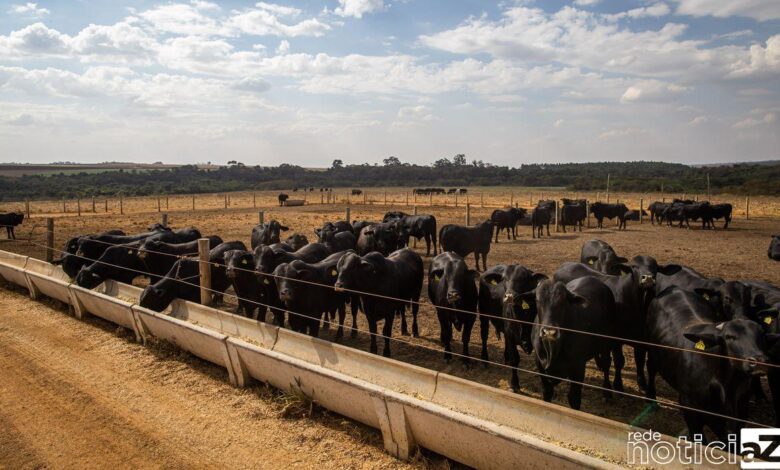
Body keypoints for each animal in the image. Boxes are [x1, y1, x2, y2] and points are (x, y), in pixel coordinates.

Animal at [524, 278, 616, 410]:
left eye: (563, 302)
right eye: (537, 300)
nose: (549, 332)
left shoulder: (578, 368)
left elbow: (574, 398)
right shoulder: (540, 365)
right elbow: (547, 393)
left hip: (606, 342)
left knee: (607, 363)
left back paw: (607, 392)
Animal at [644, 286, 776, 440]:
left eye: (762, 335)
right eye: (729, 337)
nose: (760, 361)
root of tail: (674, 289)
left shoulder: (740, 413)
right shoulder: (690, 409)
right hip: (652, 351)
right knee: (651, 367)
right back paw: (651, 399)